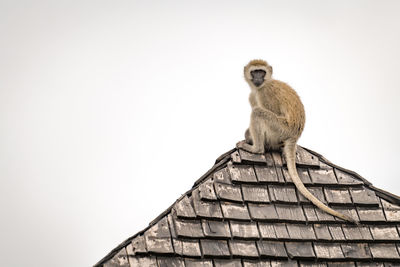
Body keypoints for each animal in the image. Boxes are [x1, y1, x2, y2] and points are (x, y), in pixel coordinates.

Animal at [236, 59, 358, 225]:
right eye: (255, 72)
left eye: (261, 72)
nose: (258, 78)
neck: (261, 87)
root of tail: (295, 135)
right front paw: (247, 136)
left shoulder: (265, 93)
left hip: (281, 129)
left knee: (258, 112)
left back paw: (256, 149)